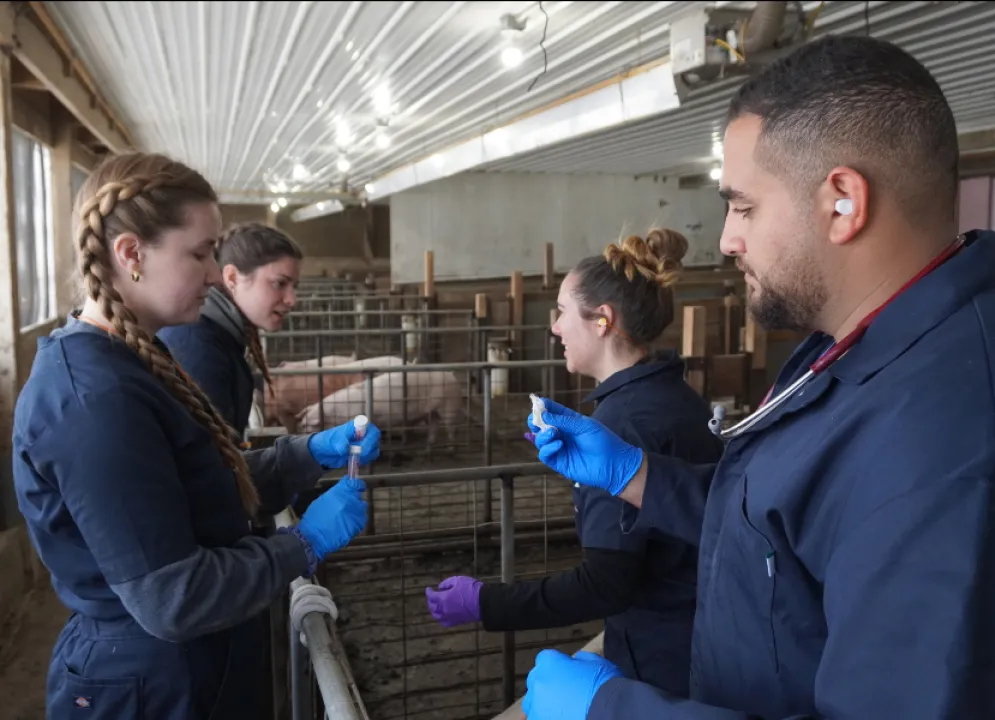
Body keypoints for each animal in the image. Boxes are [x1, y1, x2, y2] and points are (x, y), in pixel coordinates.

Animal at [298, 368, 464, 448]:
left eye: (307, 425)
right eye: (303, 423)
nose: (300, 434)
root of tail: (452, 376)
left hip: (450, 405)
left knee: (451, 428)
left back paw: (451, 448)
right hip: (431, 412)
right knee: (433, 426)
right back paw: (428, 445)